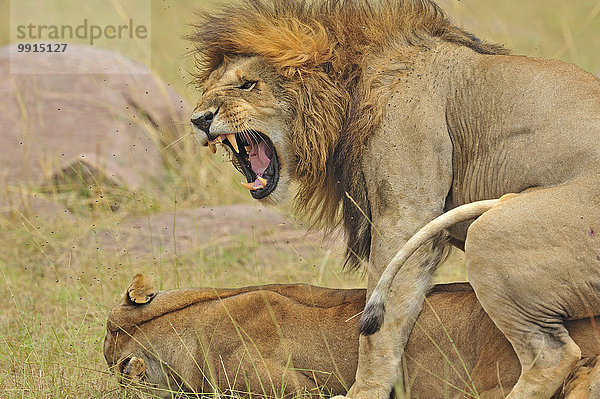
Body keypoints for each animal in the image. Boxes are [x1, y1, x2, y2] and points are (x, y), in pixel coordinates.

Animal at [190, 1, 600, 398]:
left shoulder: (407, 214)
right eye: (208, 89)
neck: (350, 87)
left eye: (247, 84)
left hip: (493, 233)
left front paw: (364, 391)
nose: (198, 119)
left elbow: (380, 325)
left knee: (552, 354)